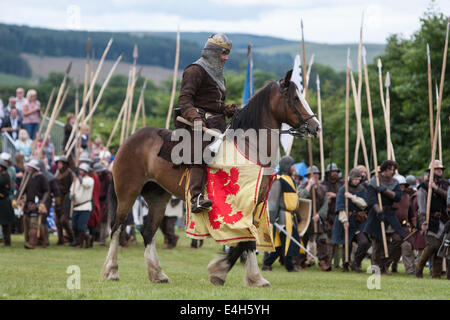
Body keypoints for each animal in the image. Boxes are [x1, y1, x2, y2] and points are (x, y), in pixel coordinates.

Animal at [101, 69, 320, 288]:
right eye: (295, 98)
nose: (315, 126)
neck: (250, 147)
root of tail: (129, 140)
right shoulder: (241, 205)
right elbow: (246, 238)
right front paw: (231, 273)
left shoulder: (253, 205)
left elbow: (246, 240)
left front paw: (236, 275)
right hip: (128, 192)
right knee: (117, 228)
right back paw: (112, 271)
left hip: (157, 197)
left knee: (148, 232)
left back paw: (157, 274)